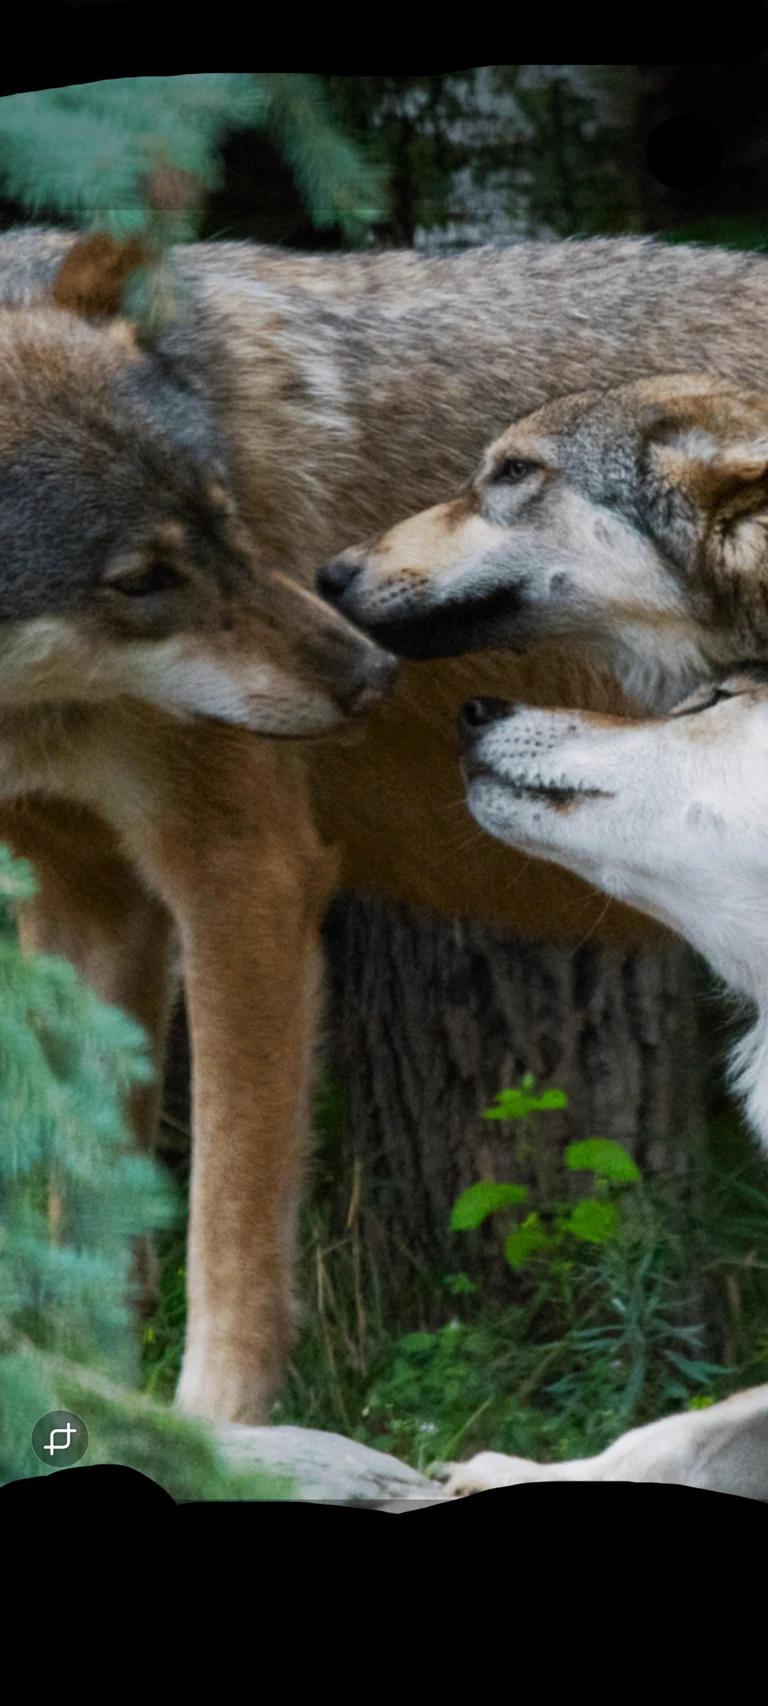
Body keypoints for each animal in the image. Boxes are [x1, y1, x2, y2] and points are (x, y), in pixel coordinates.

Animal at [11, 232, 768, 1425]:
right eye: (140, 578)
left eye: (229, 521)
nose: (360, 662)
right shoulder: (81, 895)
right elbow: (88, 1239)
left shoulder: (248, 875)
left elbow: (227, 1234)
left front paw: (217, 1432)